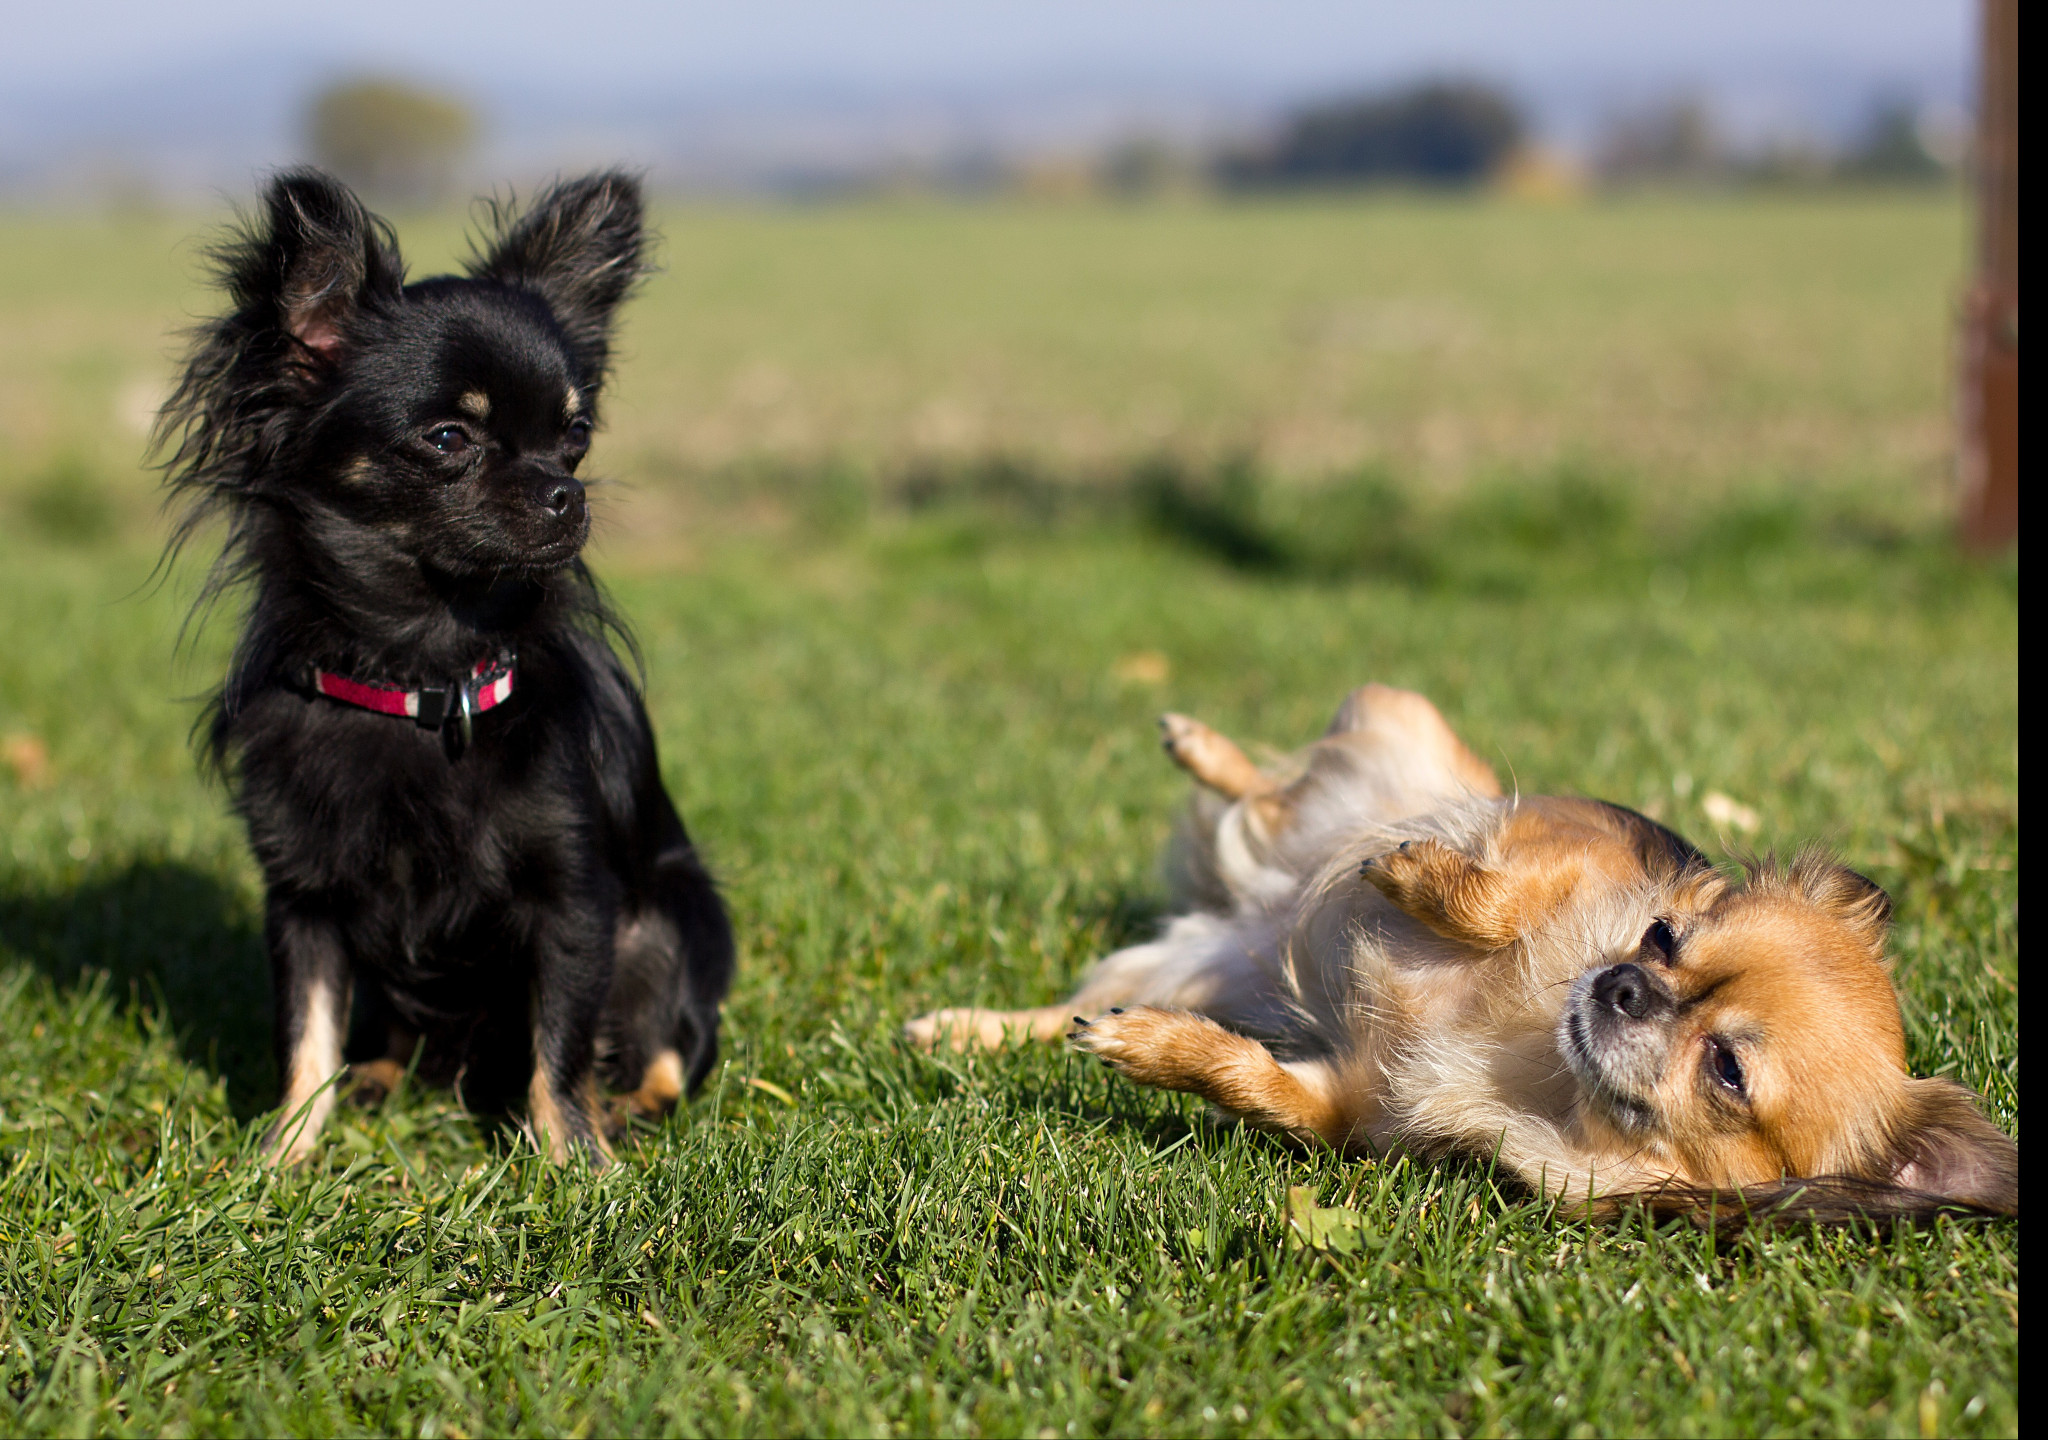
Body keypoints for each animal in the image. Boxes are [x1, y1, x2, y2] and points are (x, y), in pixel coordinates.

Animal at [909, 680, 2015, 1220]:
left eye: (1728, 1071)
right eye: (1659, 937)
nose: (1619, 985)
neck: (1526, 1056)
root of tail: (1249, 910)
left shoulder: (1345, 1104)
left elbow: (1249, 1079)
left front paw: (1149, 1050)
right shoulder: (1563, 848)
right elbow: (1494, 893)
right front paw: (1407, 876)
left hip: (1190, 969)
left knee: (1066, 1010)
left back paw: (964, 1030)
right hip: (1400, 731)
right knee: (1273, 787)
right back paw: (1205, 750)